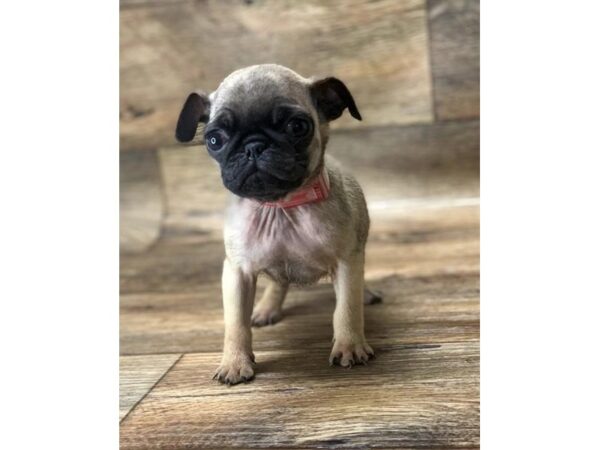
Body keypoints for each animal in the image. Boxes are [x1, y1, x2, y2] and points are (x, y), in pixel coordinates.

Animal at [176, 63, 378, 384]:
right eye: (214, 140)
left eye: (297, 127)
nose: (253, 147)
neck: (281, 207)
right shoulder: (237, 273)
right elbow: (236, 323)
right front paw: (234, 362)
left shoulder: (347, 262)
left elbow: (346, 307)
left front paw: (349, 346)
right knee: (277, 283)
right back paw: (266, 308)